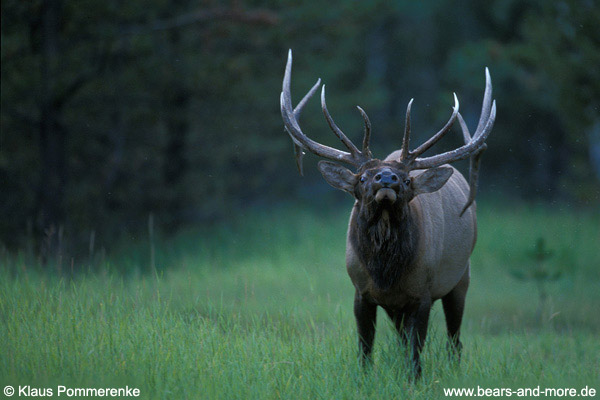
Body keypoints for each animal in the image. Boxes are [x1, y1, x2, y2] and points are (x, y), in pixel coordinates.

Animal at [278, 50, 494, 378]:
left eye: (406, 181)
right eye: (363, 178)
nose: (387, 178)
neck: (386, 273)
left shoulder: (422, 294)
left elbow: (416, 354)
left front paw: (413, 381)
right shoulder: (361, 292)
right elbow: (365, 349)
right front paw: (365, 379)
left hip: (461, 277)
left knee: (454, 341)